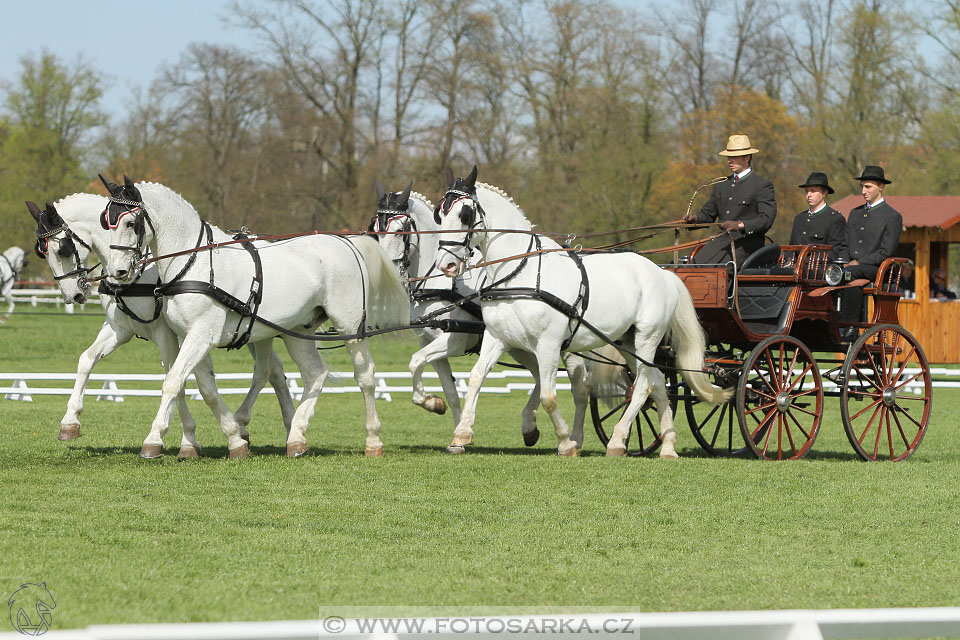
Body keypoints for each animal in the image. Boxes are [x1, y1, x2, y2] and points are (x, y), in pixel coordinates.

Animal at [27, 198, 296, 458]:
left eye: (63, 248)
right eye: (42, 252)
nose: (72, 295)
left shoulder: (165, 333)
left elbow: (176, 379)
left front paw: (182, 439)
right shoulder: (120, 329)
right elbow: (86, 359)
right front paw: (70, 422)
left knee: (267, 370)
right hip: (252, 333)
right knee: (275, 371)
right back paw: (285, 426)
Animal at [100, 175, 408, 456]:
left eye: (130, 223)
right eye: (106, 223)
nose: (117, 272)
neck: (194, 263)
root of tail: (346, 243)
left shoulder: (201, 335)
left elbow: (173, 381)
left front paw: (154, 439)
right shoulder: (192, 335)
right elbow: (206, 389)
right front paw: (235, 438)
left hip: (350, 326)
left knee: (365, 376)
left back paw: (373, 440)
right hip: (299, 330)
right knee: (315, 374)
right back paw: (296, 436)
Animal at [372, 181, 596, 450]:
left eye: (400, 231)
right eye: (376, 231)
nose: (387, 274)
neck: (441, 281)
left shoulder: (455, 340)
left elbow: (416, 361)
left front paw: (438, 408)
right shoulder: (429, 341)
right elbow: (445, 387)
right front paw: (450, 421)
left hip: (566, 347)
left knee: (580, 388)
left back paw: (575, 438)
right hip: (519, 345)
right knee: (539, 376)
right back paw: (529, 427)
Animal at [432, 165, 732, 456]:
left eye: (465, 214)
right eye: (440, 215)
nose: (446, 265)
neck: (521, 274)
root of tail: (663, 273)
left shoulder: (549, 344)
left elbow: (549, 396)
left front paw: (566, 442)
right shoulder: (497, 338)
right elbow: (476, 378)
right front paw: (461, 435)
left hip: (648, 338)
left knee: (642, 387)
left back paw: (617, 441)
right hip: (627, 342)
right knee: (657, 383)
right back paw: (668, 446)